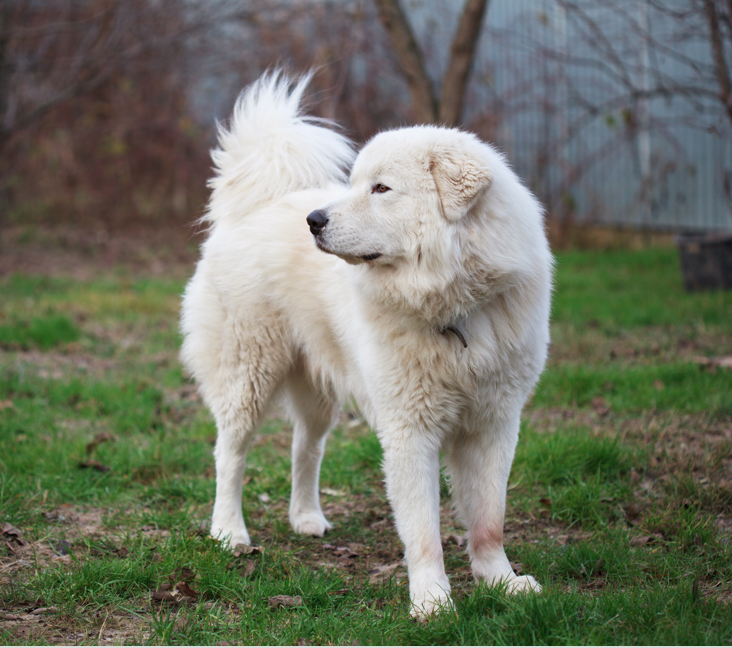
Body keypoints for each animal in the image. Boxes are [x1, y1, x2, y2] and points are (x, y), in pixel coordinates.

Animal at [180, 71, 552, 616]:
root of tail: (257, 205)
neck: (454, 307)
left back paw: (306, 518)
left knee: (305, 448)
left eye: (381, 188)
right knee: (230, 454)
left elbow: (489, 519)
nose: (314, 220)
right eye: (356, 183)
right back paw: (229, 532)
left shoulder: (495, 424)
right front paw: (433, 603)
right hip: (249, 373)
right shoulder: (410, 432)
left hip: (317, 392)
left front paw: (500, 581)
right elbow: (424, 531)